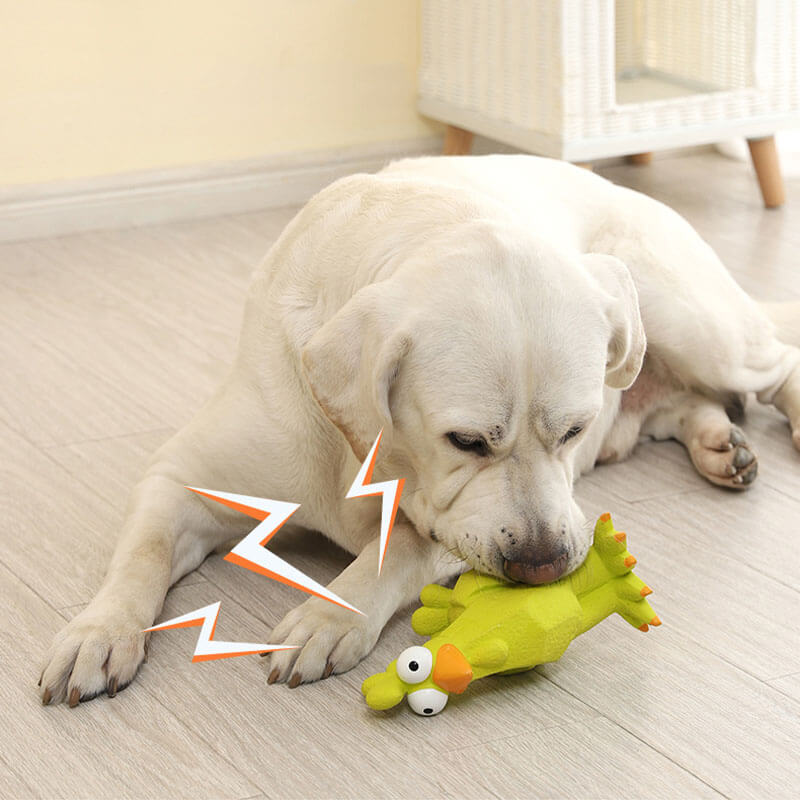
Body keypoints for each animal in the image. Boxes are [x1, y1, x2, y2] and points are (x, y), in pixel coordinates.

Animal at [39, 153, 800, 704]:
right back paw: (720, 445)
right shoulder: (180, 479)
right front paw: (99, 632)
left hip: (690, 316)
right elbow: (141, 555)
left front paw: (331, 616)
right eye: (465, 441)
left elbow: (398, 548)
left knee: (768, 368)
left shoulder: (451, 530)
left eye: (573, 431)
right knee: (696, 401)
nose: (545, 565)